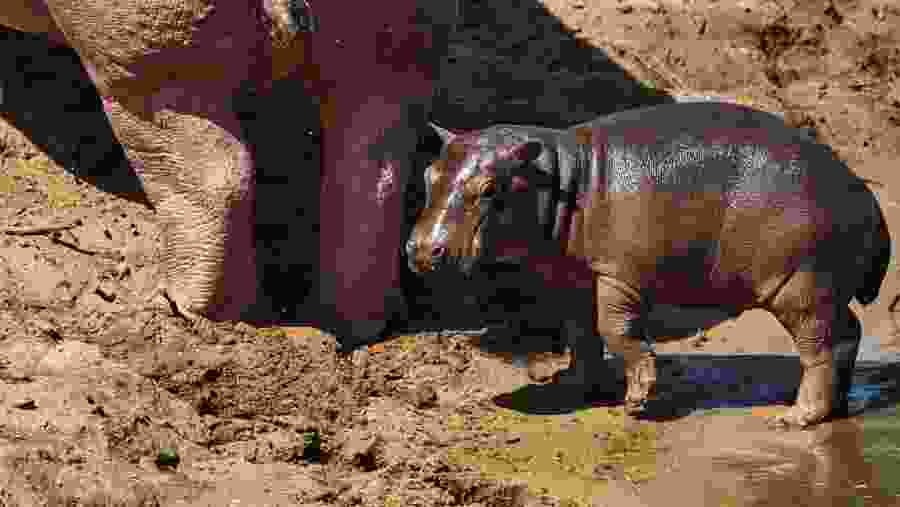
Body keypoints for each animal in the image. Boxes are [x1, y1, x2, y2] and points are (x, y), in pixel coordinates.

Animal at [0, 0, 456, 346]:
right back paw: (352, 327)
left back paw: (184, 313)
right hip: (391, 40)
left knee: (218, 176)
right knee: (376, 169)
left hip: (150, 54)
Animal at [406, 101, 891, 428]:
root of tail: (866, 195)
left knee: (822, 347)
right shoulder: (575, 278)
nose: (420, 249)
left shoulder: (615, 275)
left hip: (799, 287)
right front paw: (573, 384)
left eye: (490, 188)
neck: (560, 177)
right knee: (848, 334)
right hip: (817, 289)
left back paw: (794, 417)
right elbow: (580, 333)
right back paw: (836, 408)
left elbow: (615, 330)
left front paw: (636, 400)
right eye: (429, 174)